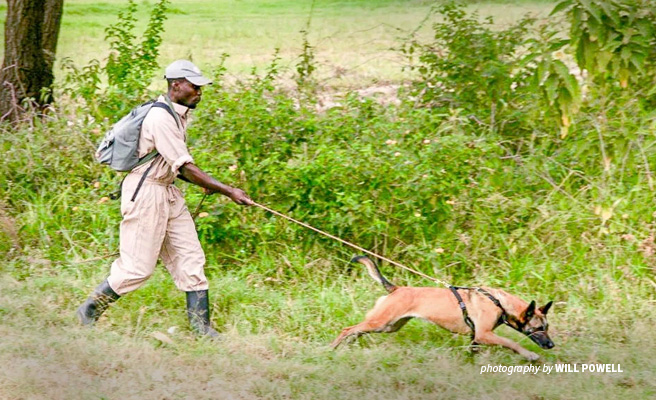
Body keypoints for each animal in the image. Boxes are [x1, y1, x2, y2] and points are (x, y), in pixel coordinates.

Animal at [334, 256, 552, 362]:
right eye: (538, 328)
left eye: (547, 327)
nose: (552, 345)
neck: (498, 302)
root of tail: (396, 288)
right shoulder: (484, 334)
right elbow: (511, 342)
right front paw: (529, 355)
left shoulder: (476, 337)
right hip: (382, 322)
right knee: (347, 329)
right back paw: (332, 349)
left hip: (388, 326)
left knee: (357, 330)